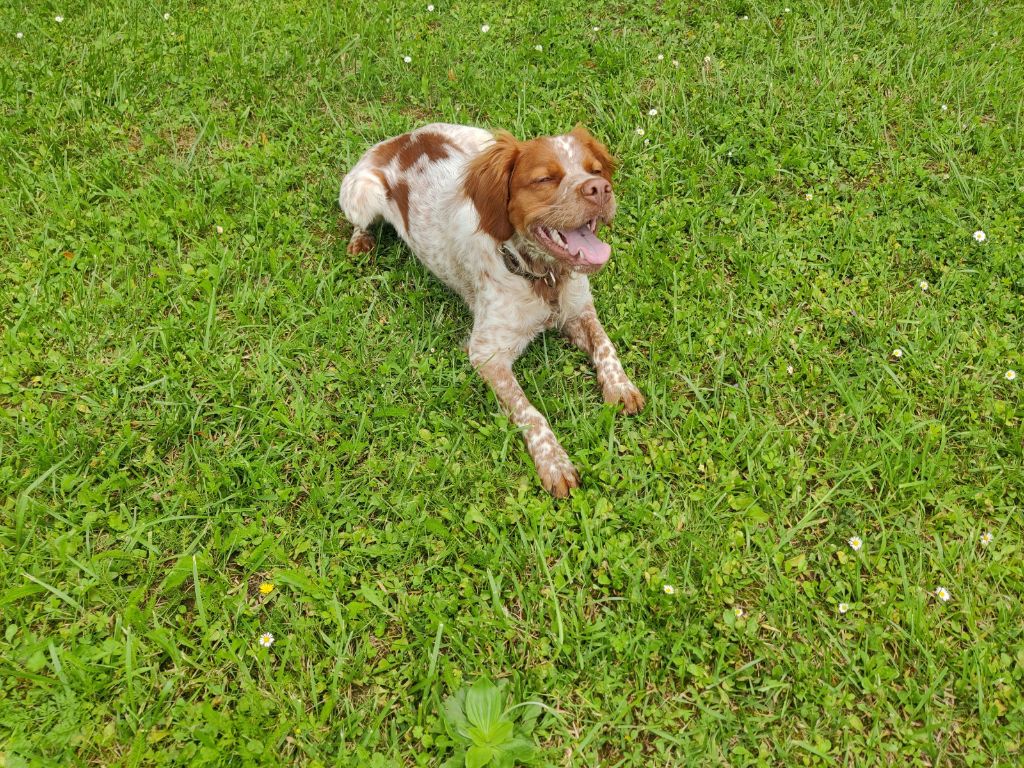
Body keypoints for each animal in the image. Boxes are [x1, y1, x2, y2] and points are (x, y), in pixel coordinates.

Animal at [344, 124, 647, 499]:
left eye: (597, 170)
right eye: (544, 179)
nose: (599, 189)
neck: (542, 276)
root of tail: (403, 139)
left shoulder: (578, 310)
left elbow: (606, 345)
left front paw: (620, 386)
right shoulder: (486, 354)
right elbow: (529, 411)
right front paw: (554, 462)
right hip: (360, 194)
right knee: (360, 223)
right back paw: (360, 242)